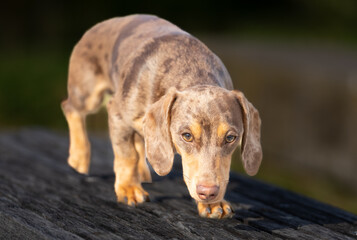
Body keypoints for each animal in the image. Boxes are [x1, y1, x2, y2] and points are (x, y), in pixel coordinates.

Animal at [61, 14, 262, 218]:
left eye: (231, 138)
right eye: (186, 136)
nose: (208, 193)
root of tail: (100, 25)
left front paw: (214, 204)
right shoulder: (117, 115)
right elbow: (127, 155)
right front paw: (128, 189)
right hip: (87, 94)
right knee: (69, 108)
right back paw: (78, 158)